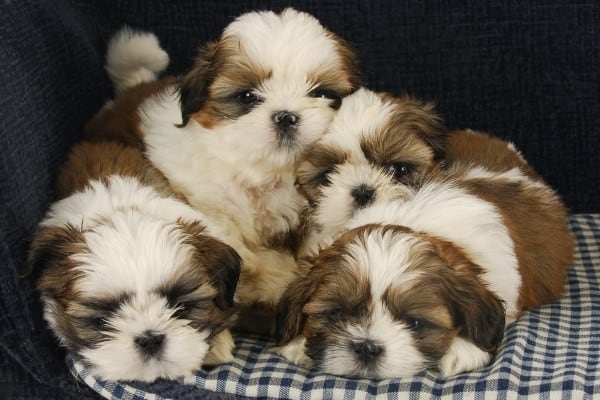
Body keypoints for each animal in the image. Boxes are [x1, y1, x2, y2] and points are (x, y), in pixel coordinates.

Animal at [86, 8, 358, 332]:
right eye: (247, 96)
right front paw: (270, 280)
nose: (286, 116)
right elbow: (232, 240)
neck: (258, 168)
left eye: (321, 93)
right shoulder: (195, 192)